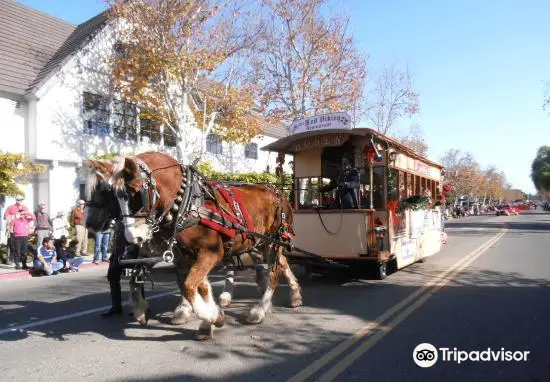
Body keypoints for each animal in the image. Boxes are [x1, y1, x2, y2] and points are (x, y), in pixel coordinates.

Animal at [110, 151, 304, 338]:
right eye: (114, 197)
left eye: (136, 192)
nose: (133, 237)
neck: (187, 202)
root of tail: (278, 192)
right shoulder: (188, 255)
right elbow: (199, 286)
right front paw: (209, 318)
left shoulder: (210, 253)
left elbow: (189, 286)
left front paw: (212, 317)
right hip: (260, 242)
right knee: (281, 263)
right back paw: (294, 296)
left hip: (273, 240)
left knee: (274, 272)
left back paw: (260, 310)